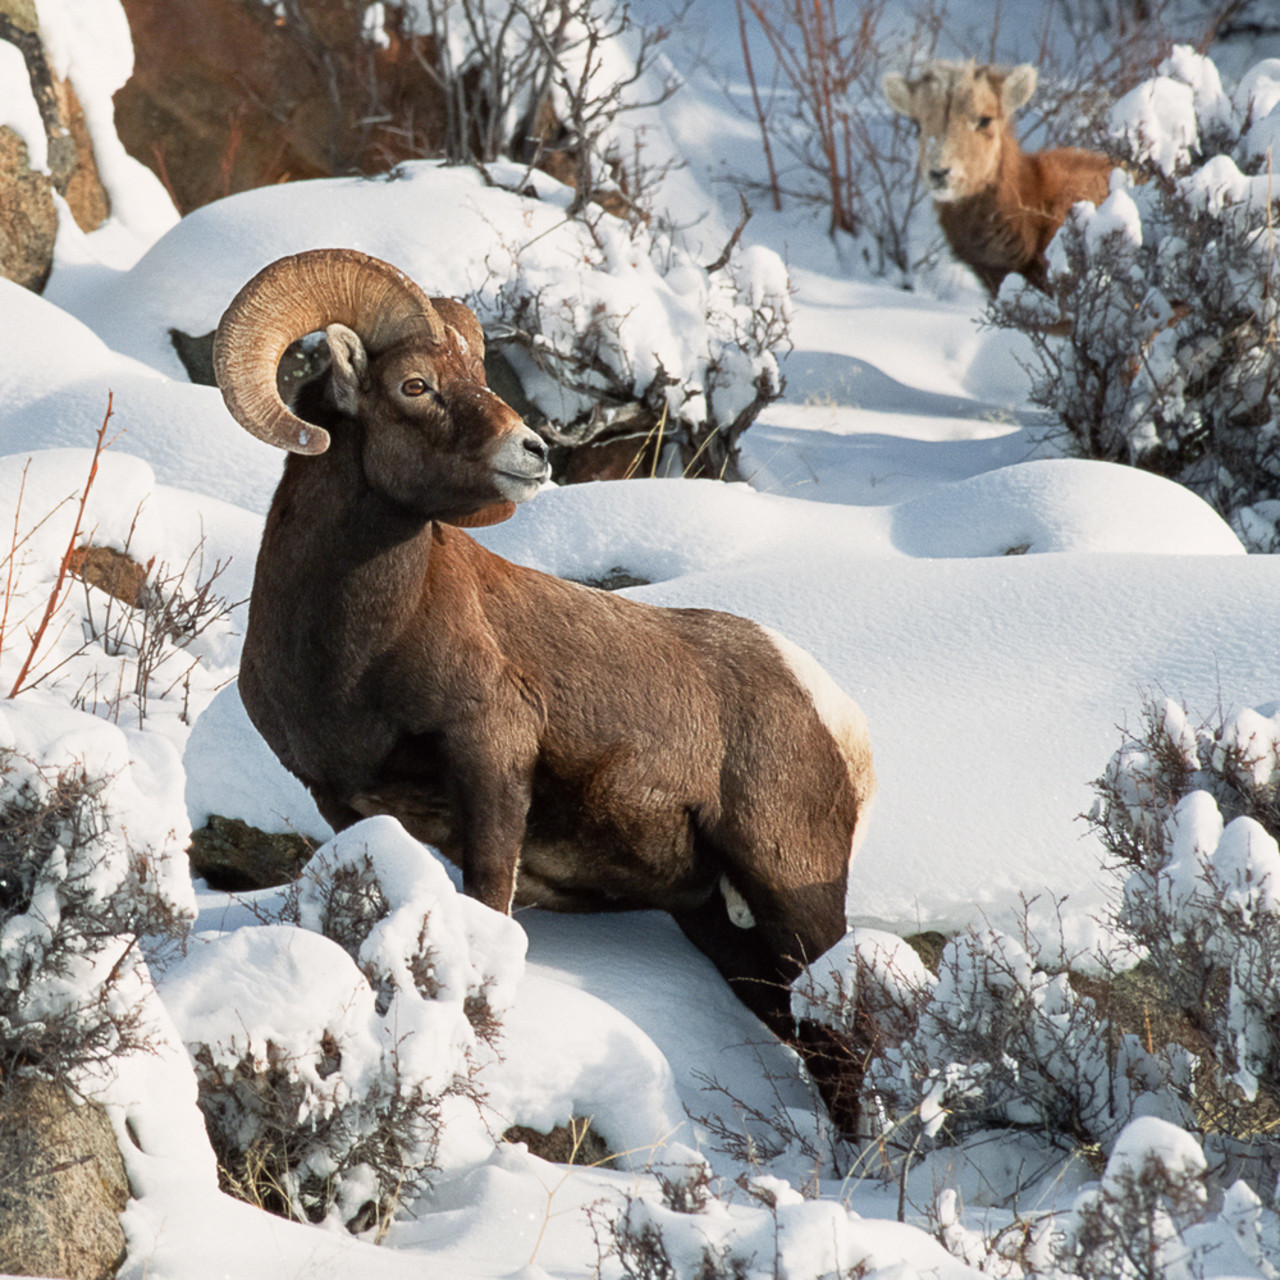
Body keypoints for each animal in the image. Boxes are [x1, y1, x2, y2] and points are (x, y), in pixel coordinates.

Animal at [213, 248, 877, 1063]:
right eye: (414, 386)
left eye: (478, 374)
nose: (533, 453)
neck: (348, 657)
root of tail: (837, 715)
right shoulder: (342, 803)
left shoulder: (493, 755)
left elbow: (490, 901)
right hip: (722, 928)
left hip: (792, 889)